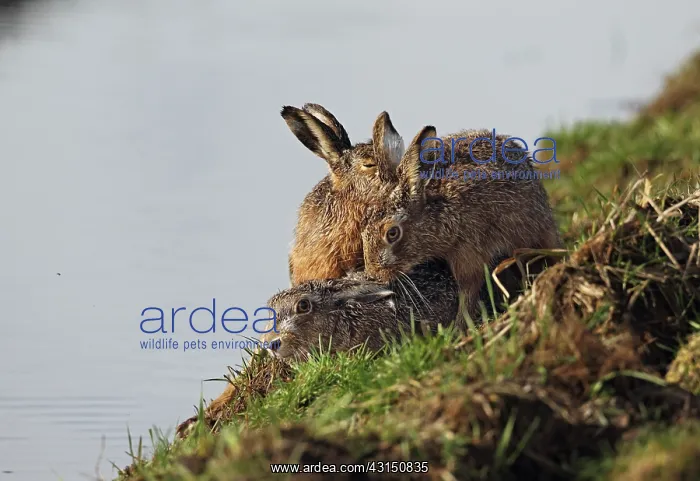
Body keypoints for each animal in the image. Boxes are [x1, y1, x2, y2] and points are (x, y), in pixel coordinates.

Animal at [360, 126, 563, 319]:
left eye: (392, 233)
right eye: (364, 231)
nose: (374, 275)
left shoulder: (469, 251)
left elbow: (468, 291)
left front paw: (460, 326)